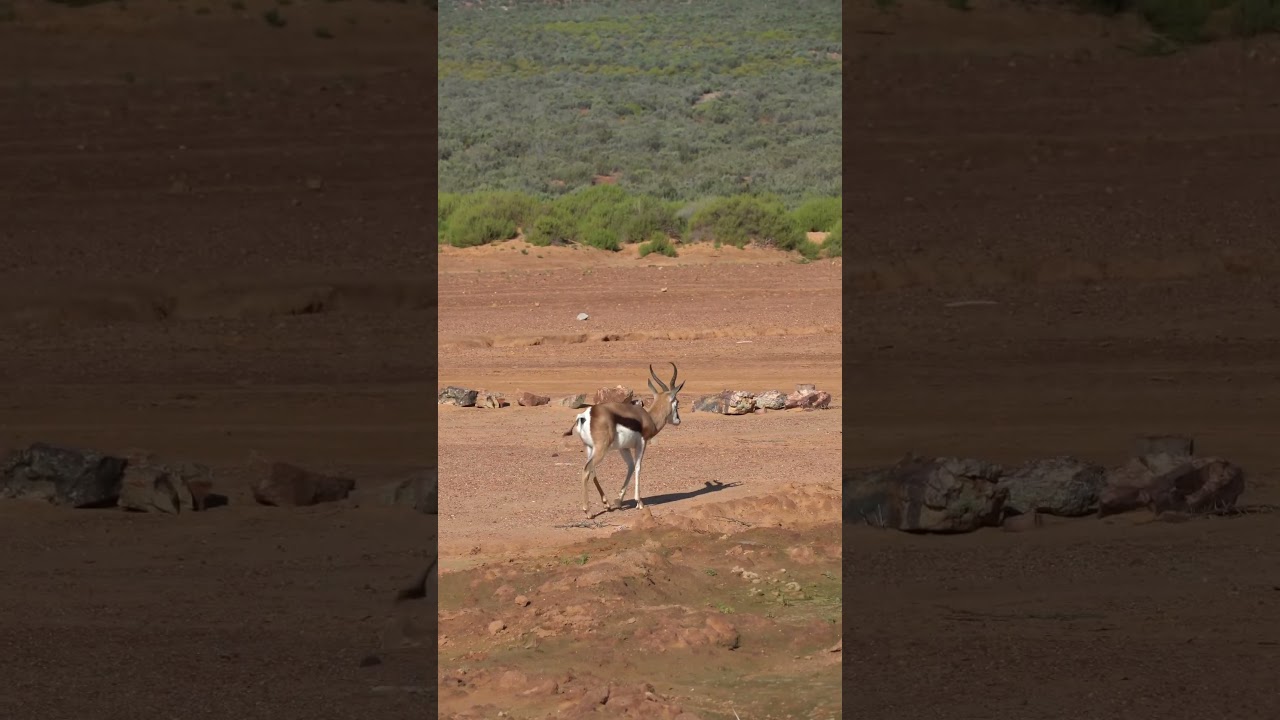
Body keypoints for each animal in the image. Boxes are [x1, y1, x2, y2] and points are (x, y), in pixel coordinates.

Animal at [562, 362, 686, 516]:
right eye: (677, 402)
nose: (678, 420)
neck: (648, 418)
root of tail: (585, 416)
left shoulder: (624, 448)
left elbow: (631, 466)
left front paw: (618, 500)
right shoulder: (642, 443)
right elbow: (638, 467)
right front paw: (639, 502)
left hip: (589, 448)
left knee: (592, 470)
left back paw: (607, 504)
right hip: (601, 449)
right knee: (586, 470)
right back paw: (588, 511)